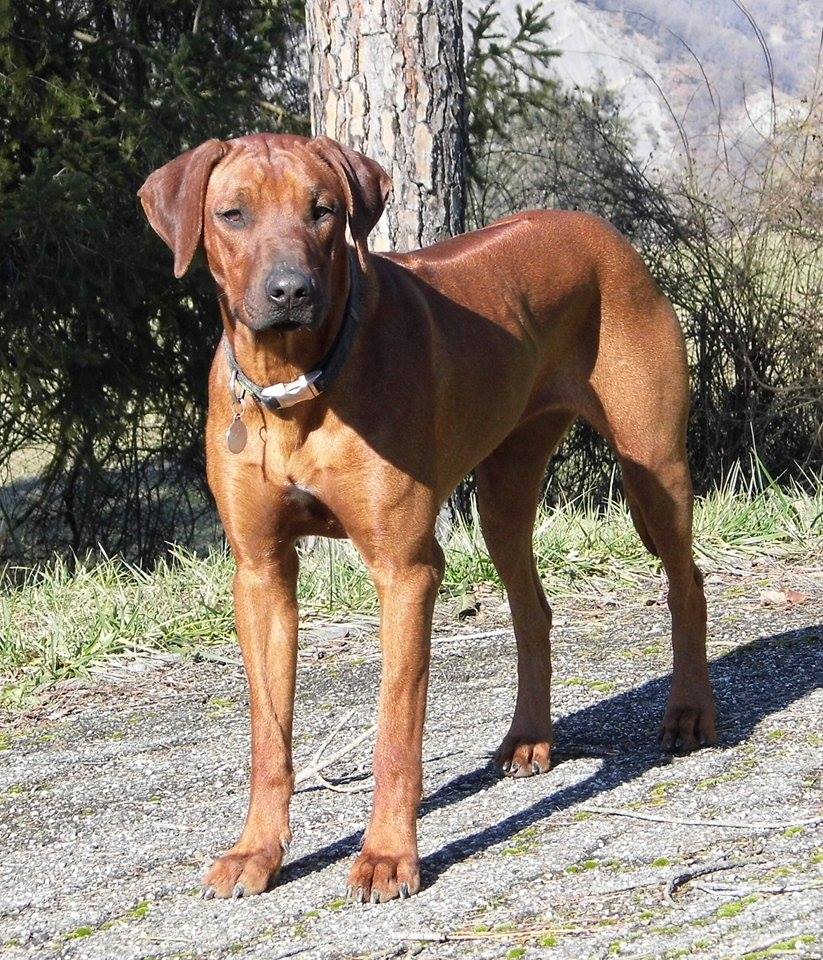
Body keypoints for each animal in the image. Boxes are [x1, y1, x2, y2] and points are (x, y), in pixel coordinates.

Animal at [138, 132, 716, 904]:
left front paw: (387, 856)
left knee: (686, 583)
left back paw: (690, 712)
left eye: (322, 211)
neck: (295, 383)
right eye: (233, 214)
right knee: (533, 609)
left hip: (652, 464)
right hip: (504, 489)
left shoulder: (406, 571)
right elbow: (269, 734)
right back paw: (529, 737)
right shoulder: (259, 572)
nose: (290, 291)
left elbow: (395, 731)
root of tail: (603, 232)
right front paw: (258, 850)